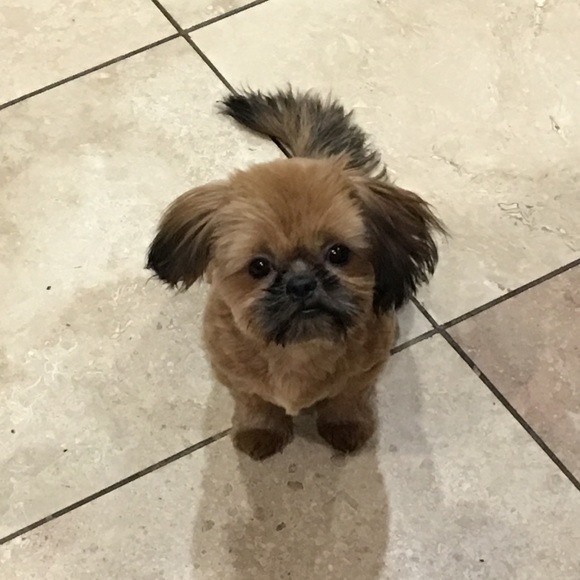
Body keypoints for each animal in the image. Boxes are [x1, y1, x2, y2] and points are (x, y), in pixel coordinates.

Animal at [147, 88, 444, 460]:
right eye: (258, 266)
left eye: (338, 253)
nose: (302, 284)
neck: (298, 349)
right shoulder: (235, 377)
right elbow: (256, 403)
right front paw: (261, 431)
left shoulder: (363, 373)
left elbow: (346, 399)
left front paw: (345, 425)